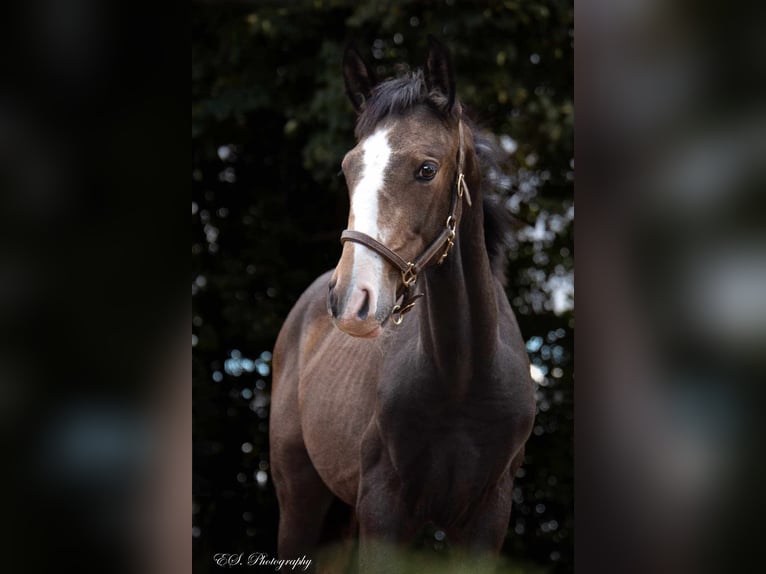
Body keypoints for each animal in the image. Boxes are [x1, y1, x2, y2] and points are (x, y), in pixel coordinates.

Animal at [272, 38, 536, 572]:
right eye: (348, 168)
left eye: (426, 169)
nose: (351, 300)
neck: (462, 376)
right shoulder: (385, 510)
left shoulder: (487, 519)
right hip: (301, 501)